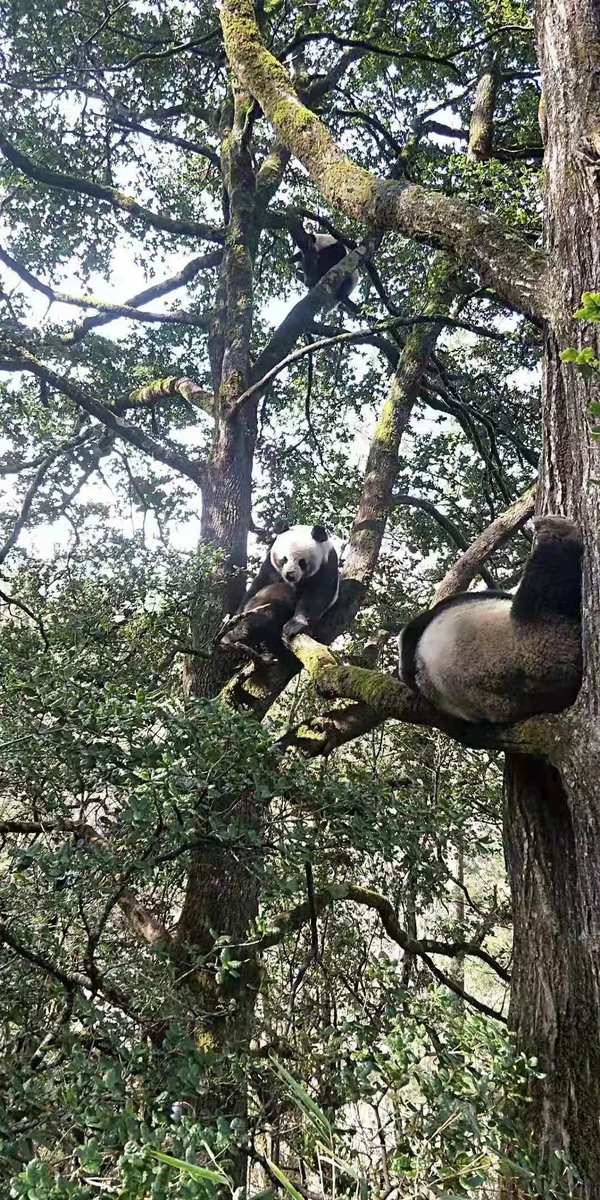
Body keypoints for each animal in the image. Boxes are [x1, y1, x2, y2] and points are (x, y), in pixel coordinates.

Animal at [219, 524, 340, 658]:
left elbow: (317, 596)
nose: (290, 575)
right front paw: (233, 624)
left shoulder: (327, 565)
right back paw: (238, 634)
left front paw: (295, 626)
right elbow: (258, 584)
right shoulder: (270, 565)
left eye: (302, 562)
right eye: (284, 559)